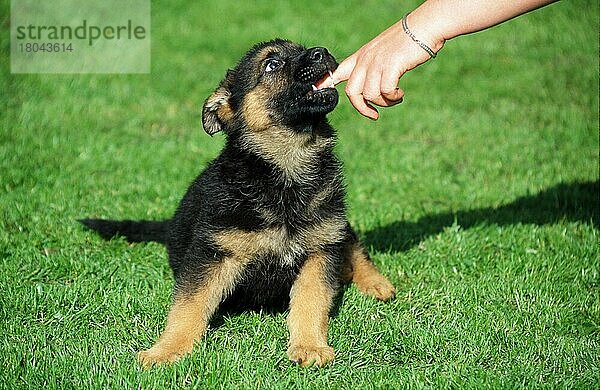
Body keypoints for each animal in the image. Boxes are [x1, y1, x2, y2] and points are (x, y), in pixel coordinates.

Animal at [82, 38, 396, 368]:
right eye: (271, 64)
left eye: (302, 48)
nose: (322, 52)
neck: (285, 167)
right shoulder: (213, 253)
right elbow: (188, 306)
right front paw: (166, 350)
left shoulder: (320, 248)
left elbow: (311, 300)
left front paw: (309, 345)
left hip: (336, 224)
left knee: (353, 243)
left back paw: (374, 282)